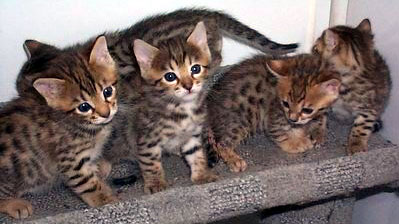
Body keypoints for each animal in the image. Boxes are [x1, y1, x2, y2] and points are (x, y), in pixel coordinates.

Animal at [0, 36, 118, 219]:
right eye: (84, 107)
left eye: (107, 91)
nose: (106, 114)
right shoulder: (71, 161)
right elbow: (88, 185)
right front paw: (108, 202)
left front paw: (101, 173)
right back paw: (15, 205)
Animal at [208, 53, 342, 172]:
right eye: (285, 103)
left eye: (307, 110)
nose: (292, 118)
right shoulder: (274, 113)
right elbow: (279, 132)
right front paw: (295, 143)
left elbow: (320, 119)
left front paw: (318, 133)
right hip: (244, 116)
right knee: (221, 143)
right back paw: (234, 160)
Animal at [312, 18, 390, 154]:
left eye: (316, 49)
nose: (310, 53)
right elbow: (320, 117)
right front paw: (317, 133)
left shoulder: (369, 107)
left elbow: (362, 127)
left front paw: (356, 145)